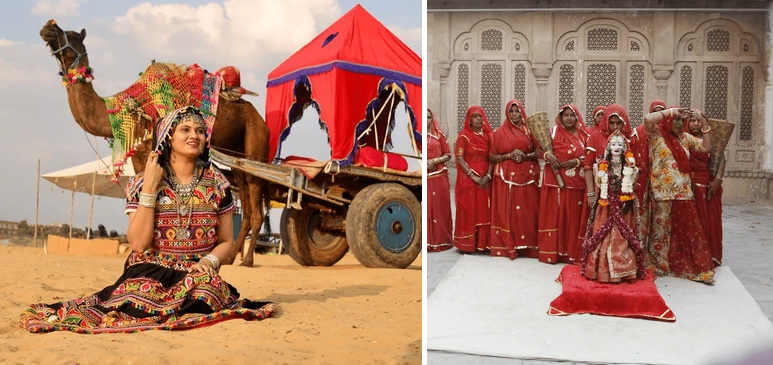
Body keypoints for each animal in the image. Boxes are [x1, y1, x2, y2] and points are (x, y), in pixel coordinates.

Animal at [42, 19, 272, 266]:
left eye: (73, 36)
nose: (48, 27)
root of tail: (263, 122)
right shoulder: (139, 154)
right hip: (239, 157)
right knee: (246, 203)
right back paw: (230, 258)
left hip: (255, 143)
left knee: (256, 205)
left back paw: (247, 260)